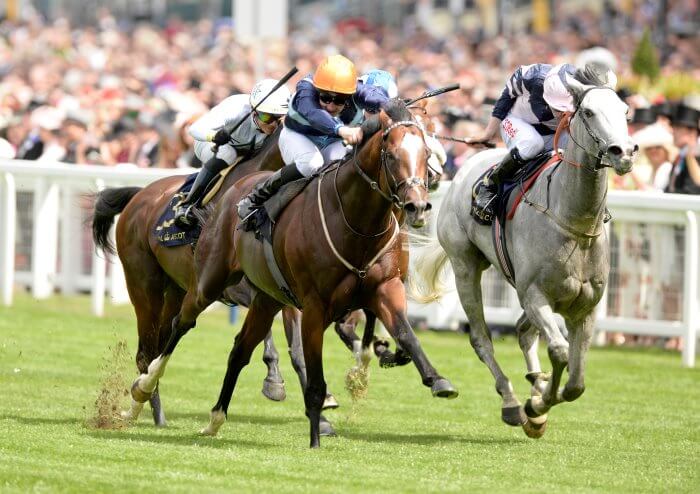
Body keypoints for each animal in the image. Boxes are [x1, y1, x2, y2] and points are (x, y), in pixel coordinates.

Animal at [130, 99, 460, 448]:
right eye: (392, 155)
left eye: (426, 153)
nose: (417, 206)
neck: (358, 225)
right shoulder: (312, 306)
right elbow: (310, 368)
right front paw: (317, 433)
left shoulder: (384, 287)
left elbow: (405, 333)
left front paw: (436, 379)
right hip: (199, 283)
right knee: (178, 327)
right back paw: (143, 388)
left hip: (265, 299)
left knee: (239, 350)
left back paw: (214, 419)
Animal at [408, 75, 636, 438]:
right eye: (588, 111)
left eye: (625, 111)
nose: (623, 153)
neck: (574, 222)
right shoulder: (536, 295)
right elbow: (559, 351)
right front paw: (536, 406)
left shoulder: (584, 307)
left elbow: (576, 383)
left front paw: (542, 397)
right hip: (466, 266)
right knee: (482, 338)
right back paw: (513, 403)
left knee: (522, 331)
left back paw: (535, 384)